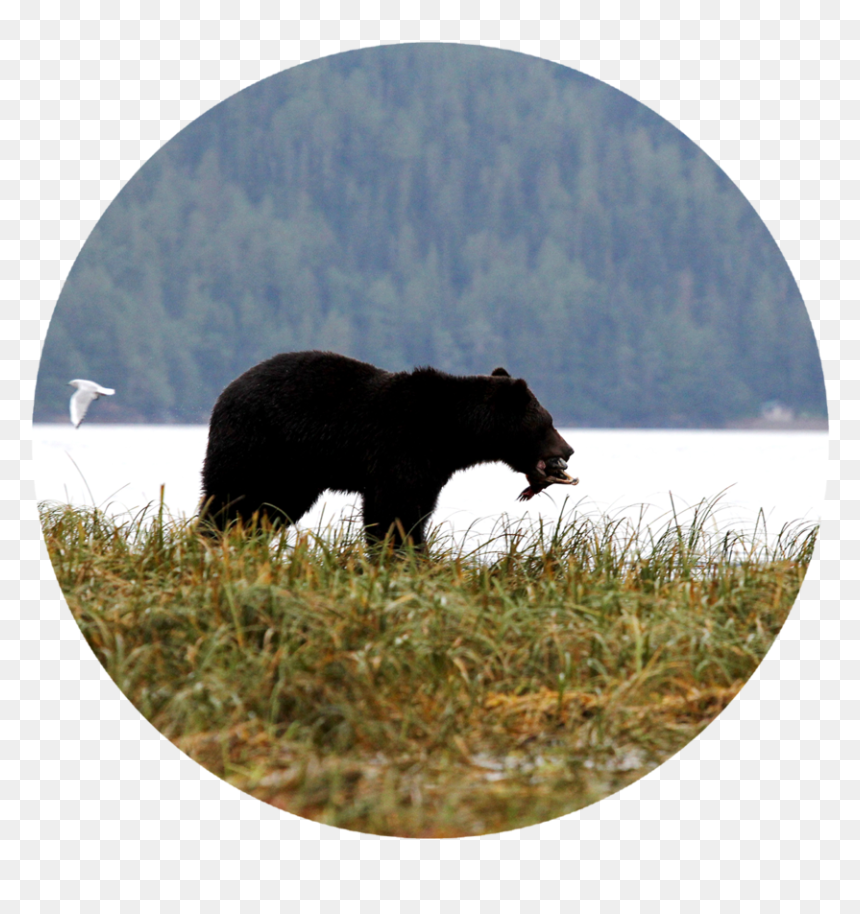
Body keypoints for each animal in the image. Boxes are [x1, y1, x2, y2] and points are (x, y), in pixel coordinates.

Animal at [200, 350, 575, 547]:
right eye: (547, 422)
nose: (569, 450)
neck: (451, 432)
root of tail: (225, 392)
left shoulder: (431, 466)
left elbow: (416, 507)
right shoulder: (402, 446)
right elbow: (394, 510)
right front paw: (402, 555)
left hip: (295, 474)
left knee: (270, 508)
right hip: (258, 446)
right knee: (230, 497)